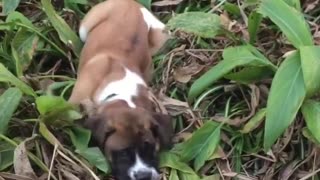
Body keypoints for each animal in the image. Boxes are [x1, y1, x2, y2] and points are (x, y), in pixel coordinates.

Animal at [68, 0, 171, 180]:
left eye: (150, 147)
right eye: (123, 153)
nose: (144, 176)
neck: (122, 92)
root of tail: (131, 3)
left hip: (162, 36)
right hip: (85, 28)